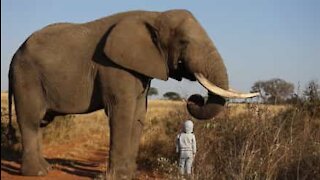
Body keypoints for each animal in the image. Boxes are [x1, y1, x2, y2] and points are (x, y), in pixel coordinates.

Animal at [7, 9, 258, 179]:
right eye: (184, 42)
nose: (194, 99)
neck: (155, 15)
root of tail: (14, 56)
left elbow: (138, 113)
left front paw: (130, 174)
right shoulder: (114, 66)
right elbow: (122, 112)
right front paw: (116, 177)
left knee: (38, 123)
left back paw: (45, 168)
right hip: (26, 76)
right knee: (30, 120)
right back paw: (38, 173)